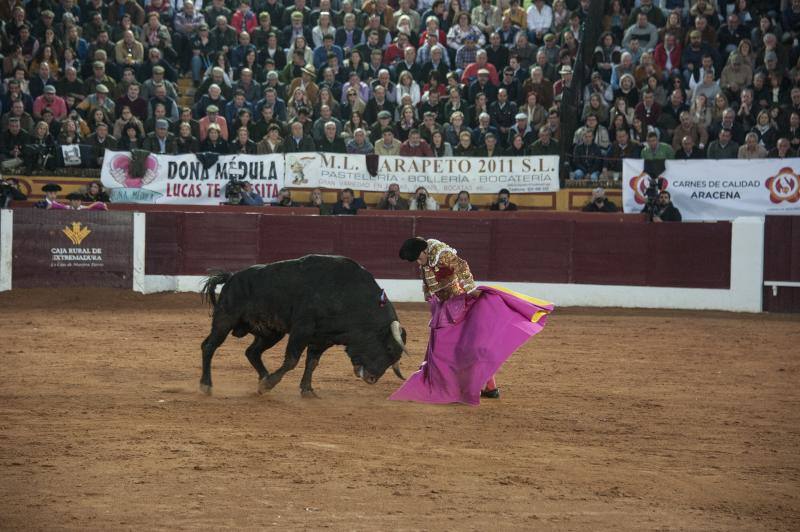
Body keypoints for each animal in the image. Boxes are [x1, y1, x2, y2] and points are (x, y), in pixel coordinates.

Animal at [199, 256, 410, 396]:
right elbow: (292, 360)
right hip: (225, 319)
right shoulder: (302, 330)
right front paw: (270, 384)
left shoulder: (323, 339)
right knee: (209, 346)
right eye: (389, 348)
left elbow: (312, 363)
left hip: (271, 332)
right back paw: (206, 385)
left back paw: (263, 377)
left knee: (252, 352)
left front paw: (307, 390)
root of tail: (231, 277)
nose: (372, 379)